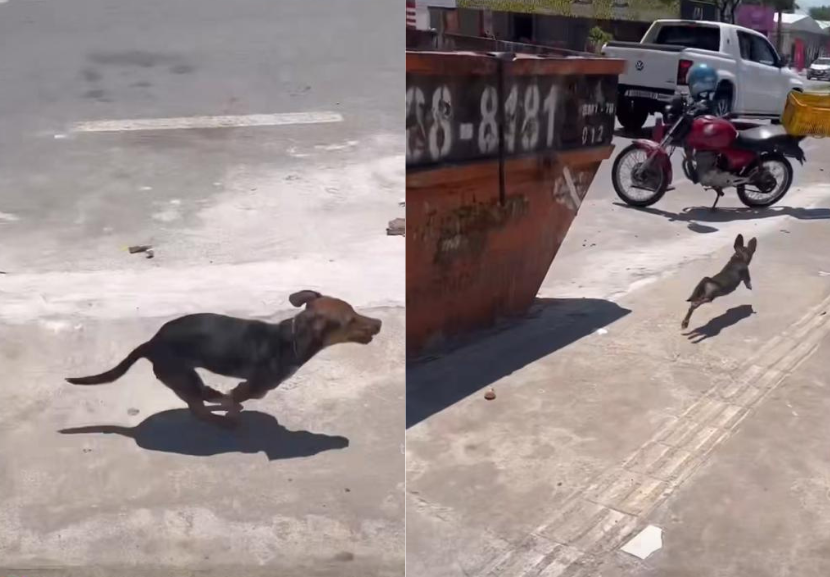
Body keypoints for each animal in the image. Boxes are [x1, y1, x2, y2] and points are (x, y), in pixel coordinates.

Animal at [66, 290, 386, 426]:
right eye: (350, 320)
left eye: (355, 311)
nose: (380, 323)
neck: (290, 338)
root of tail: (151, 343)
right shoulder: (257, 385)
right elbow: (239, 396)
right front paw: (232, 411)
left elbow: (235, 397)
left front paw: (231, 406)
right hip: (183, 376)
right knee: (200, 405)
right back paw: (222, 420)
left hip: (183, 378)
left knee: (201, 400)